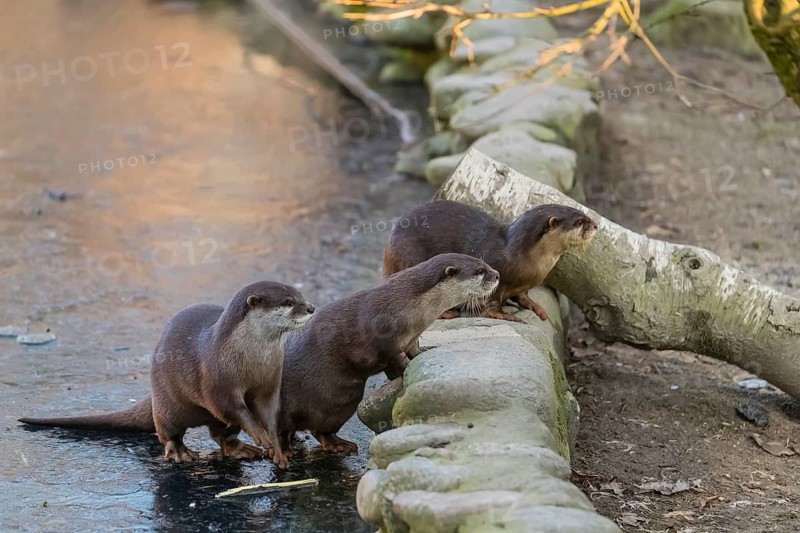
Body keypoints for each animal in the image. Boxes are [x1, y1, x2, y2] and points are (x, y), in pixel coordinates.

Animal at [19, 281, 314, 468]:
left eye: (301, 296)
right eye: (289, 302)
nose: (311, 307)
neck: (249, 358)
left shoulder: (269, 382)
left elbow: (269, 411)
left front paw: (277, 448)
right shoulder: (218, 381)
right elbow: (233, 407)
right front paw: (260, 435)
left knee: (221, 434)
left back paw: (240, 449)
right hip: (166, 404)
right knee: (170, 432)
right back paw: (180, 453)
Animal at [275, 253, 499, 459]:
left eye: (485, 263)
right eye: (479, 271)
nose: (497, 274)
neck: (410, 304)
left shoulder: (411, 337)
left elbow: (414, 349)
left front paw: (426, 351)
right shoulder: (387, 342)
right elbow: (397, 360)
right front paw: (407, 369)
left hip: (345, 399)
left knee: (319, 429)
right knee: (286, 430)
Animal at [383, 200, 597, 322]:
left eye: (584, 215)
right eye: (579, 222)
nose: (595, 225)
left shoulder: (524, 285)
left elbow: (523, 297)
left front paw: (537, 308)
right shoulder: (496, 277)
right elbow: (491, 301)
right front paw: (503, 314)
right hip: (411, 257)